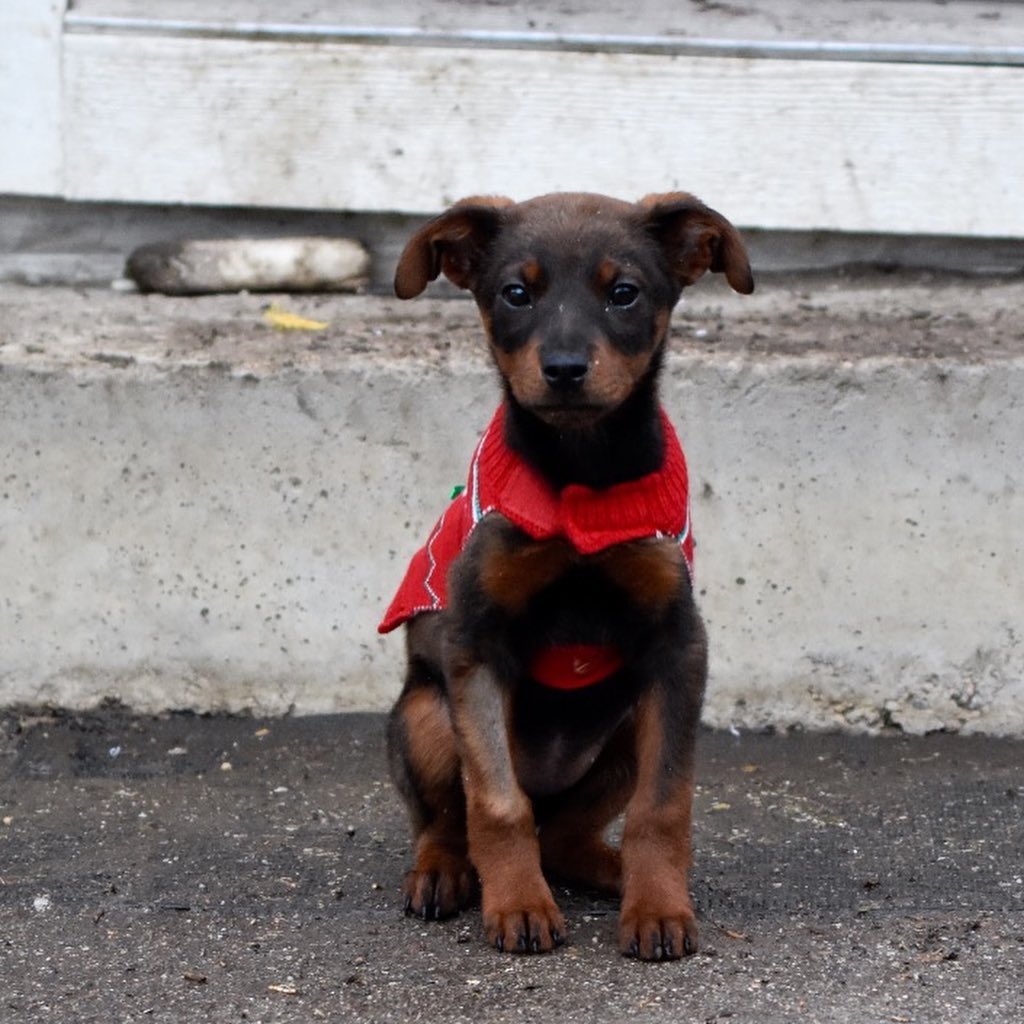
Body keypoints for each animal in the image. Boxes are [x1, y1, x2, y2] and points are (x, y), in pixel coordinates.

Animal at [376, 192, 753, 958]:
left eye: (624, 293)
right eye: (515, 294)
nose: (566, 368)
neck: (582, 470)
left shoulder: (677, 651)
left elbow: (663, 806)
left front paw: (659, 908)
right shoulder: (476, 646)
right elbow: (496, 804)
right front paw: (518, 904)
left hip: (627, 724)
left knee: (565, 836)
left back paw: (612, 873)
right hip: (428, 715)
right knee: (453, 819)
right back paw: (443, 872)